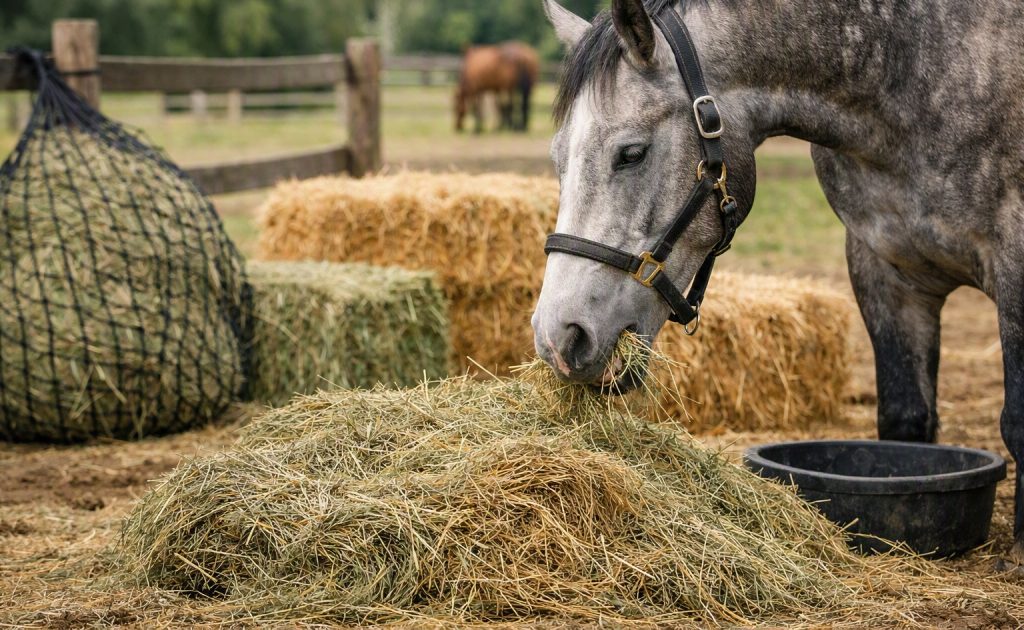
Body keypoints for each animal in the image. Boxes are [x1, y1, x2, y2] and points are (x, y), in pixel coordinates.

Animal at [532, 0, 1024, 566]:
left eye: (631, 153)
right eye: (557, 158)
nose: (558, 337)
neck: (912, 69)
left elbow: (1017, 421)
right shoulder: (883, 271)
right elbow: (905, 422)